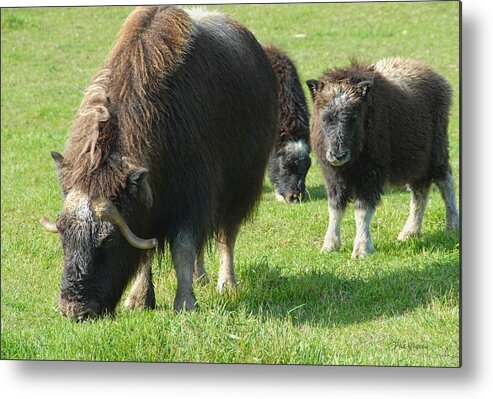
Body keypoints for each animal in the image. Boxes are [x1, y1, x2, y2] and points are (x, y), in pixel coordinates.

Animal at [39, 6, 276, 320]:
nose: (75, 311)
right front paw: (139, 299)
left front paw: (185, 303)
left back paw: (226, 283)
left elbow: (182, 247)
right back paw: (201, 277)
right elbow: (146, 251)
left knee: (227, 233)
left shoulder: (193, 195)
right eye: (63, 235)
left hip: (241, 187)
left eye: (108, 240)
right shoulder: (148, 202)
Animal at [306, 58, 460, 260]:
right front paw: (329, 246)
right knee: (420, 191)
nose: (338, 155)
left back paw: (452, 227)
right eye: (325, 118)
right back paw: (409, 233)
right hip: (414, 163)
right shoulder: (333, 176)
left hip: (436, 152)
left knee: (445, 182)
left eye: (353, 118)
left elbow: (362, 210)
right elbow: (335, 207)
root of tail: (437, 77)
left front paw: (361, 250)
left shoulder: (371, 173)